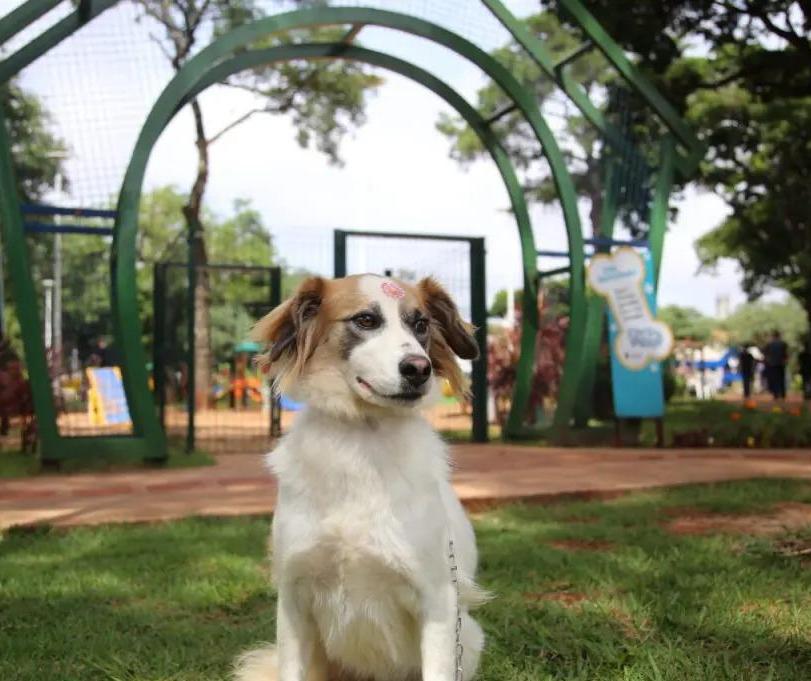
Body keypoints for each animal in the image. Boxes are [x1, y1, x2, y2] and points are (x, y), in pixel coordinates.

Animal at [235, 272, 488, 680]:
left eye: (421, 325)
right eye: (366, 320)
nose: (418, 368)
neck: (361, 445)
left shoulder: (437, 600)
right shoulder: (293, 597)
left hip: (471, 636)